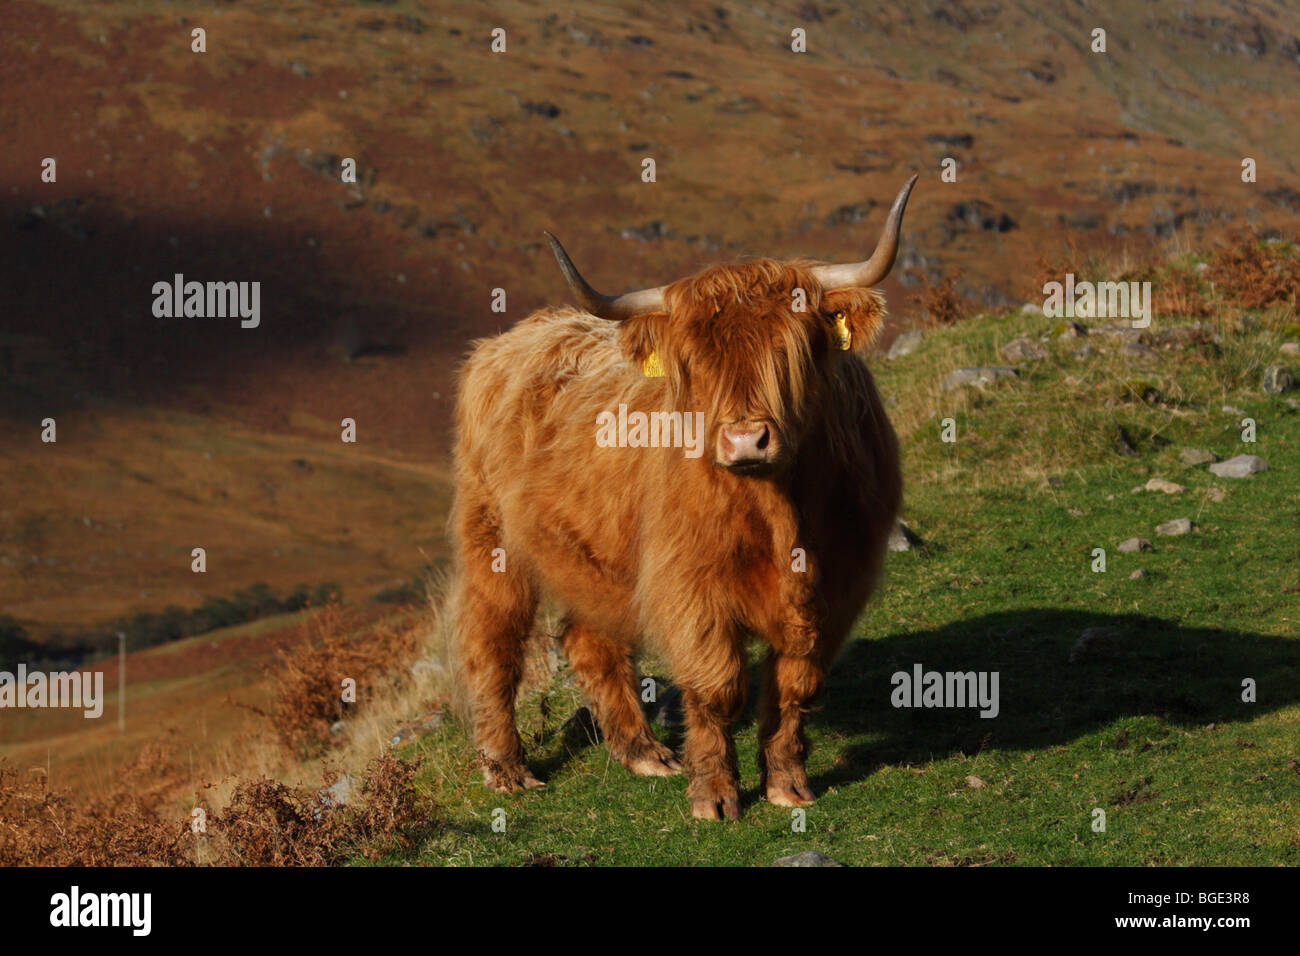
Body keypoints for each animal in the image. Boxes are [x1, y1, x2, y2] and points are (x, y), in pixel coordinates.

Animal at [451, 176, 915, 820]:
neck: (781, 513)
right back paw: (507, 771)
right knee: (491, 642)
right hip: (492, 539)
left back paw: (643, 752)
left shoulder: (840, 585)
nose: (745, 439)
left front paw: (788, 784)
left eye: (792, 349)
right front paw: (715, 796)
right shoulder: (691, 584)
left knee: (588, 640)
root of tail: (510, 340)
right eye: (694, 362)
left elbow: (796, 684)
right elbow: (718, 685)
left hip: (595, 556)